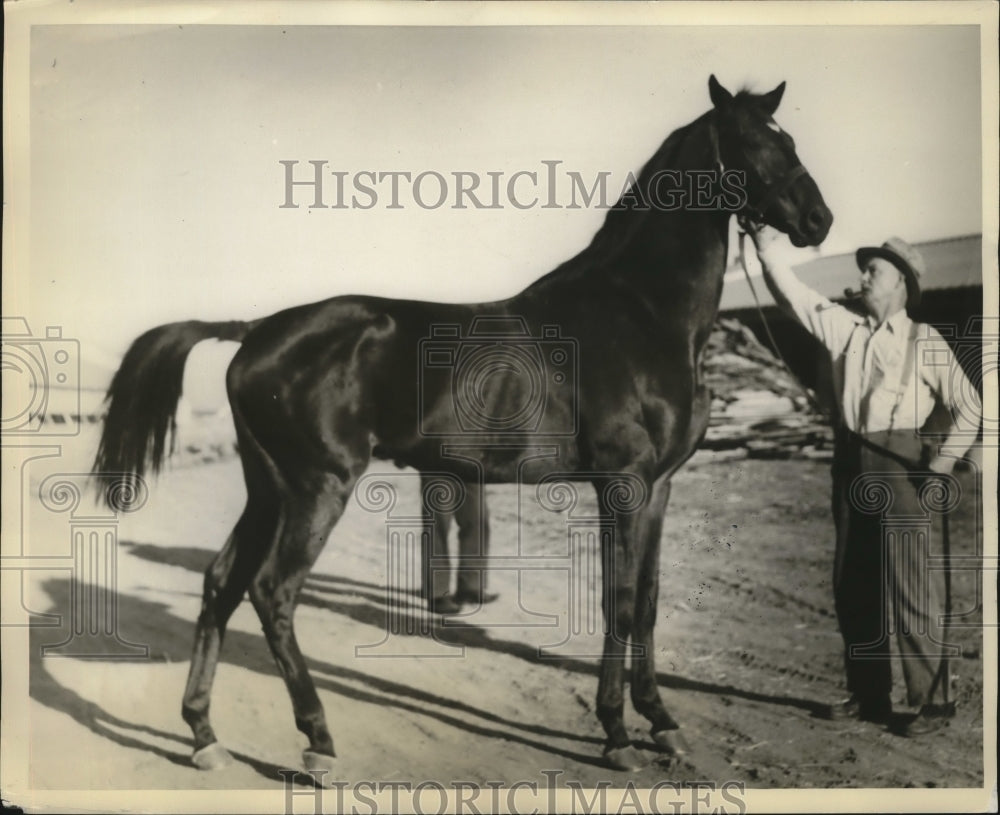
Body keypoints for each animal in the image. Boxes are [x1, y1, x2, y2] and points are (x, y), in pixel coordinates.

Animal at [94, 76, 832, 776]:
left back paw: (204, 736)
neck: (639, 314)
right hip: (316, 488)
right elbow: (618, 601)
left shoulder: (659, 487)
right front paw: (617, 735)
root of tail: (255, 330)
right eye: (751, 142)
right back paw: (318, 741)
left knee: (221, 582)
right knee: (273, 591)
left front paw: (663, 724)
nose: (818, 220)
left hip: (268, 489)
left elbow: (646, 600)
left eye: (788, 136)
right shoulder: (621, 484)